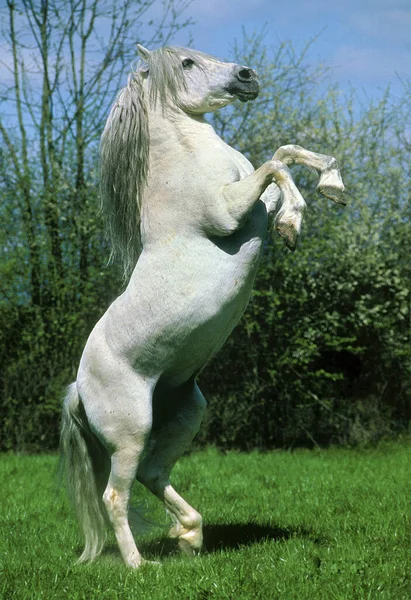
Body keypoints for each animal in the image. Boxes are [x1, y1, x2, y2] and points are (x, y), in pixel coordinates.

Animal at [60, 43, 344, 568]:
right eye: (187, 63)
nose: (248, 76)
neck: (184, 161)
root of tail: (78, 390)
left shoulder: (251, 198)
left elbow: (283, 154)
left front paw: (328, 186)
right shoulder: (228, 212)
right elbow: (275, 165)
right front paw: (294, 221)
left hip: (185, 413)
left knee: (153, 472)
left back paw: (189, 534)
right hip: (131, 431)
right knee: (116, 493)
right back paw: (139, 566)